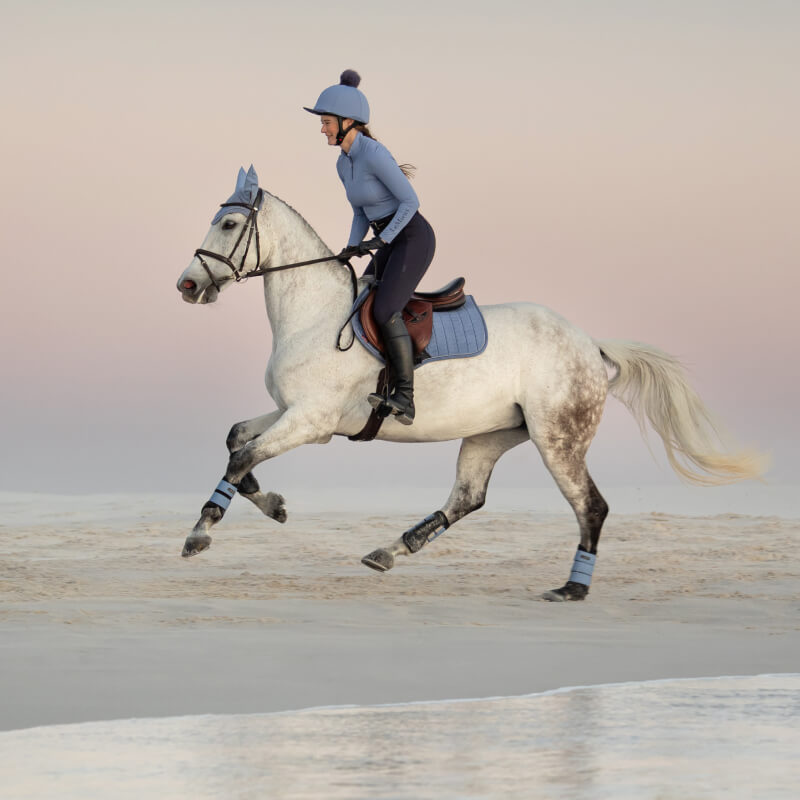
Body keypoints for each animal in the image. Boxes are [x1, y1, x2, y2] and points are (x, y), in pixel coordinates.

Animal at [176, 166, 764, 601]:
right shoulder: (296, 413)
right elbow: (237, 439)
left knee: (590, 506)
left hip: (558, 439)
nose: (187, 285)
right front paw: (273, 504)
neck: (315, 315)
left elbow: (241, 455)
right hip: (492, 433)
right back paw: (390, 550)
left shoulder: (311, 420)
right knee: (468, 497)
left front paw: (201, 532)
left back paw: (572, 588)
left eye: (229, 225)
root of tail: (589, 345)